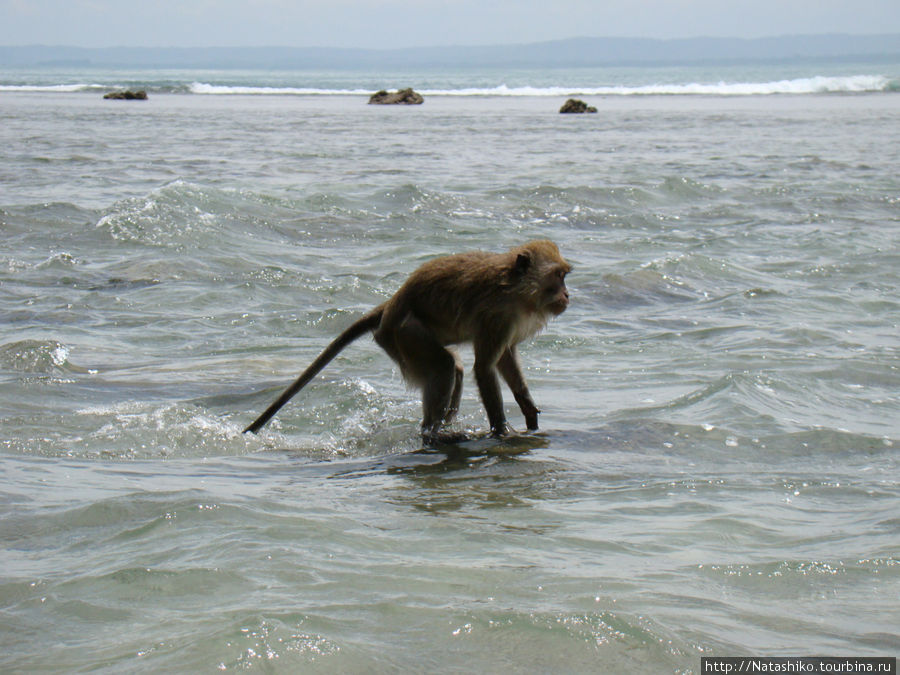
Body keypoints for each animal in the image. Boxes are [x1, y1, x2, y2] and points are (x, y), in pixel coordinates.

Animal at [243, 240, 572, 440]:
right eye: (558, 276)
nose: (568, 295)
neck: (517, 289)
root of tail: (391, 304)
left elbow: (505, 358)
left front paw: (528, 409)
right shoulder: (497, 316)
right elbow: (484, 367)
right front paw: (501, 429)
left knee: (453, 367)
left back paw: (442, 426)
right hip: (402, 334)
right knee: (443, 366)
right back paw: (433, 432)